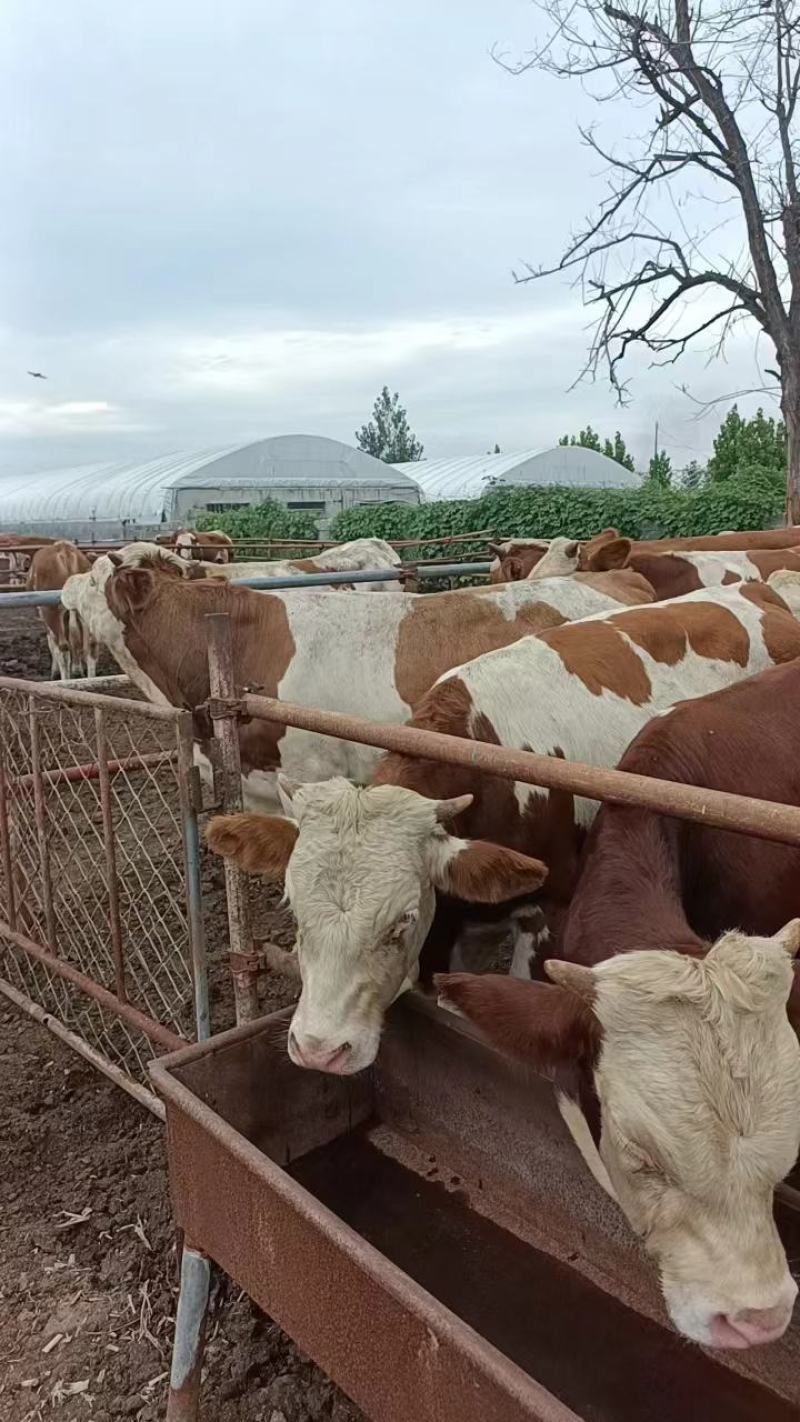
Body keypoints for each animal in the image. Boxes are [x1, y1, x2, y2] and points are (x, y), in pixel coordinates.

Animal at [25, 540, 98, 679]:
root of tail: (65, 550)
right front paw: (77, 669)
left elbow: (52, 643)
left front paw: (55, 671)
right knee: (90, 646)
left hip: (50, 611)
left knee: (63, 648)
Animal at [204, 577, 800, 1075]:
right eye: (293, 911)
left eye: (402, 921)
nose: (318, 1049)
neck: (479, 756)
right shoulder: (457, 922)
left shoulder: (551, 911)